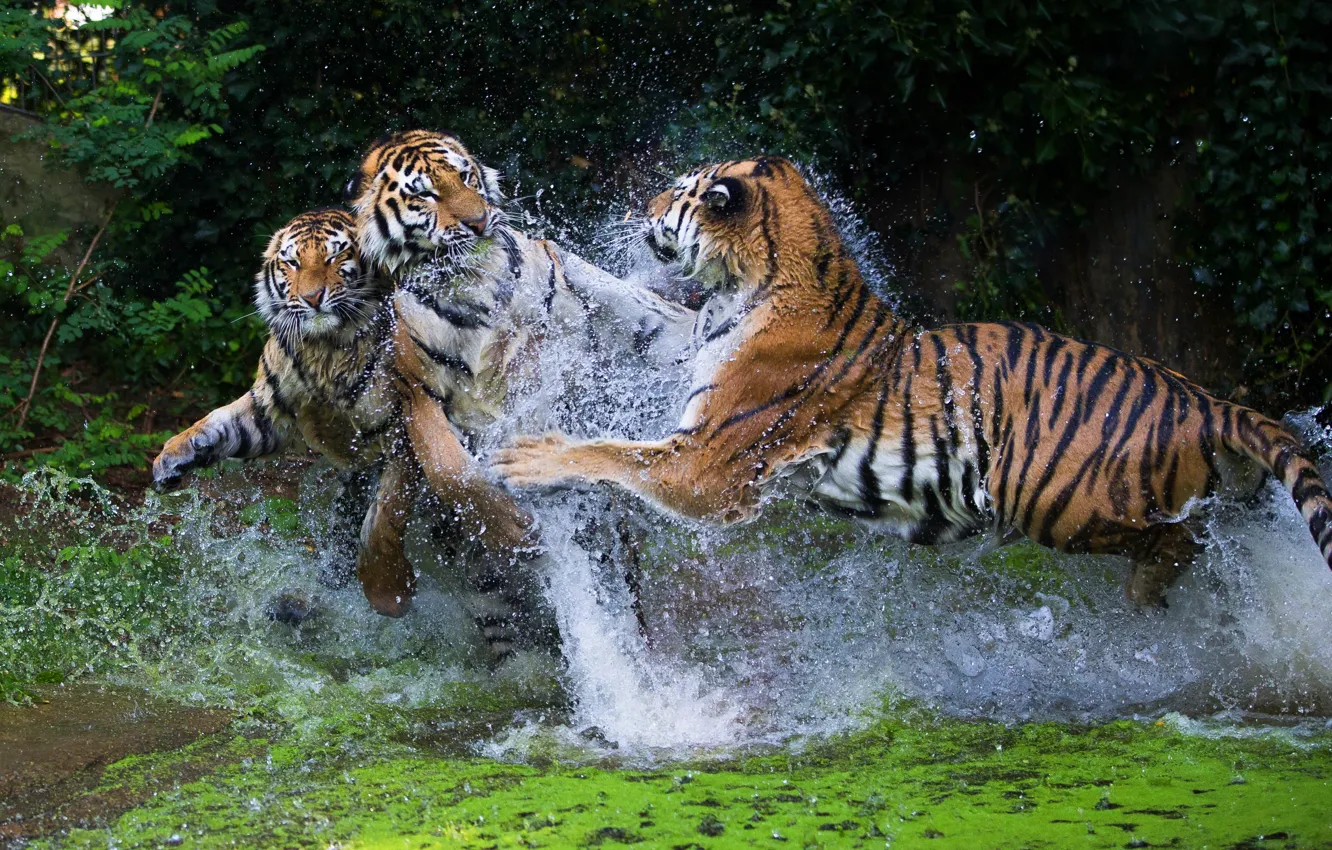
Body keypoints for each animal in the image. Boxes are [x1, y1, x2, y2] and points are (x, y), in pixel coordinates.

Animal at [150, 210, 545, 666]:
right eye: (292, 263)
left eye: (336, 256)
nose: (312, 298)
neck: (324, 346)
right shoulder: (268, 413)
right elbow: (217, 424)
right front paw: (172, 458)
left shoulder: (400, 434)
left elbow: (381, 520)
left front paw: (388, 592)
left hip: (478, 563)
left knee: (506, 618)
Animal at [493, 156, 1332, 607]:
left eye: (676, 191)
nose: (644, 204)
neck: (750, 285)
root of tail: (1209, 399)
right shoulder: (690, 349)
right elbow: (633, 307)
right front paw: (548, 254)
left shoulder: (708, 465)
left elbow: (612, 451)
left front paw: (528, 455)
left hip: (1054, 498)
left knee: (1179, 538)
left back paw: (1147, 594)